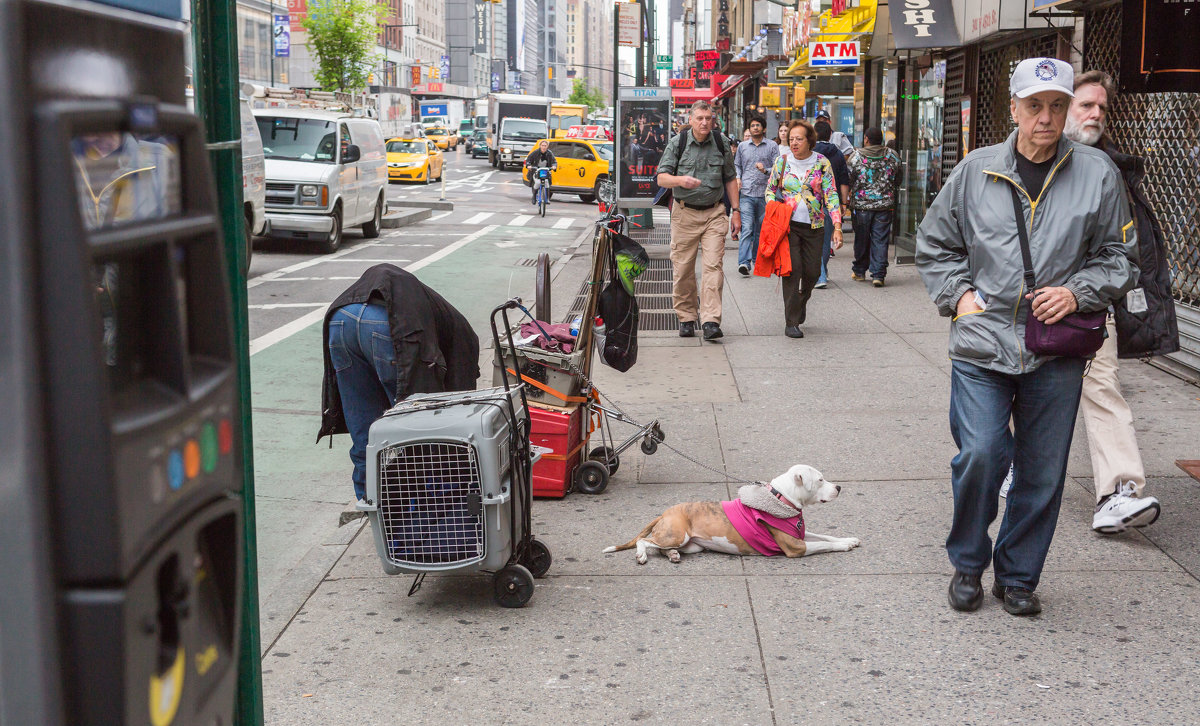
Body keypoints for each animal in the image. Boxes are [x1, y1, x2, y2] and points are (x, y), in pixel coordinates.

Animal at [604, 468, 859, 564]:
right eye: (820, 480)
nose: (838, 487)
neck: (781, 498)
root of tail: (664, 513)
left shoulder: (799, 534)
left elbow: (825, 537)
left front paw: (849, 539)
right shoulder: (796, 546)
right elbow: (823, 545)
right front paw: (844, 546)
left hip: (690, 544)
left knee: (659, 547)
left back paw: (673, 555)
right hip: (676, 534)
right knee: (644, 541)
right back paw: (641, 555)